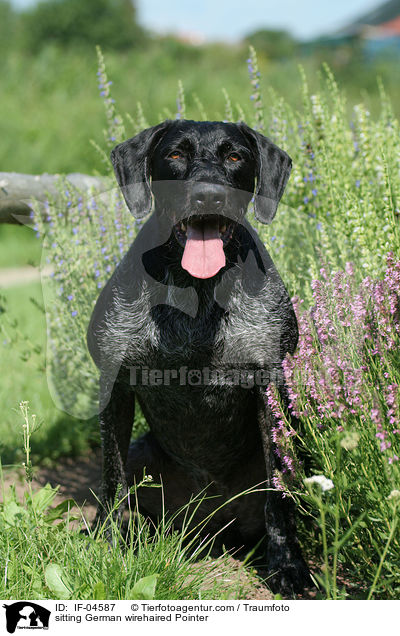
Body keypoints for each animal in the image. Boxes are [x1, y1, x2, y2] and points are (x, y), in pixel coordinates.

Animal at [87, 119, 310, 596]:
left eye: (234, 156)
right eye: (175, 154)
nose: (209, 196)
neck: (198, 289)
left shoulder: (269, 385)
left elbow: (278, 497)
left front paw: (287, 565)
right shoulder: (115, 386)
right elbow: (111, 482)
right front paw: (104, 547)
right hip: (144, 454)